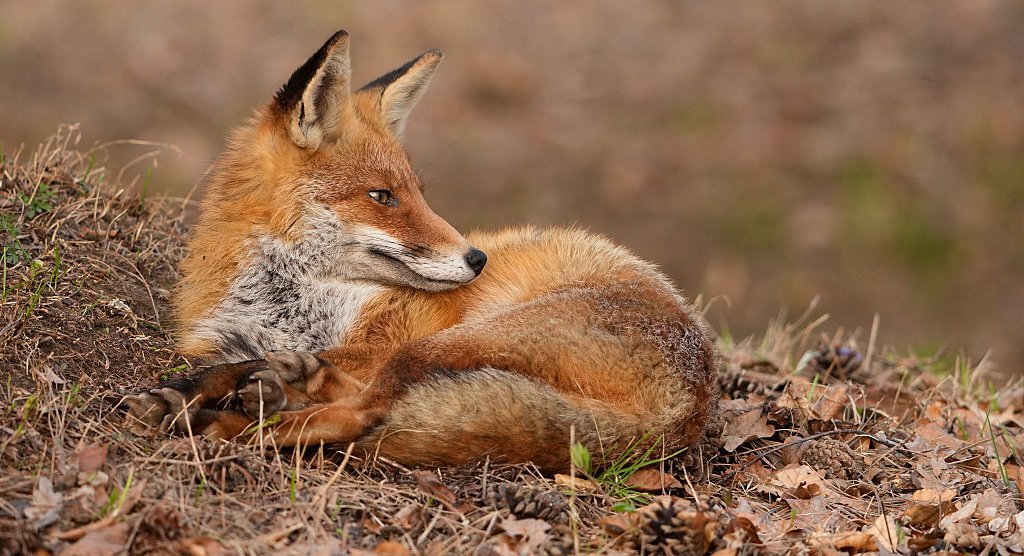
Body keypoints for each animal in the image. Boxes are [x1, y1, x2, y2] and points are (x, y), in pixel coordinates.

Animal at [124, 30, 720, 473]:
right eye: (382, 197)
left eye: (417, 193)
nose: (477, 259)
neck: (290, 298)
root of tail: (688, 408)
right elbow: (240, 360)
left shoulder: (378, 339)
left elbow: (243, 363)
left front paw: (189, 396)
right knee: (358, 398)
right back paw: (283, 389)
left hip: (456, 340)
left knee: (366, 411)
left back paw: (237, 421)